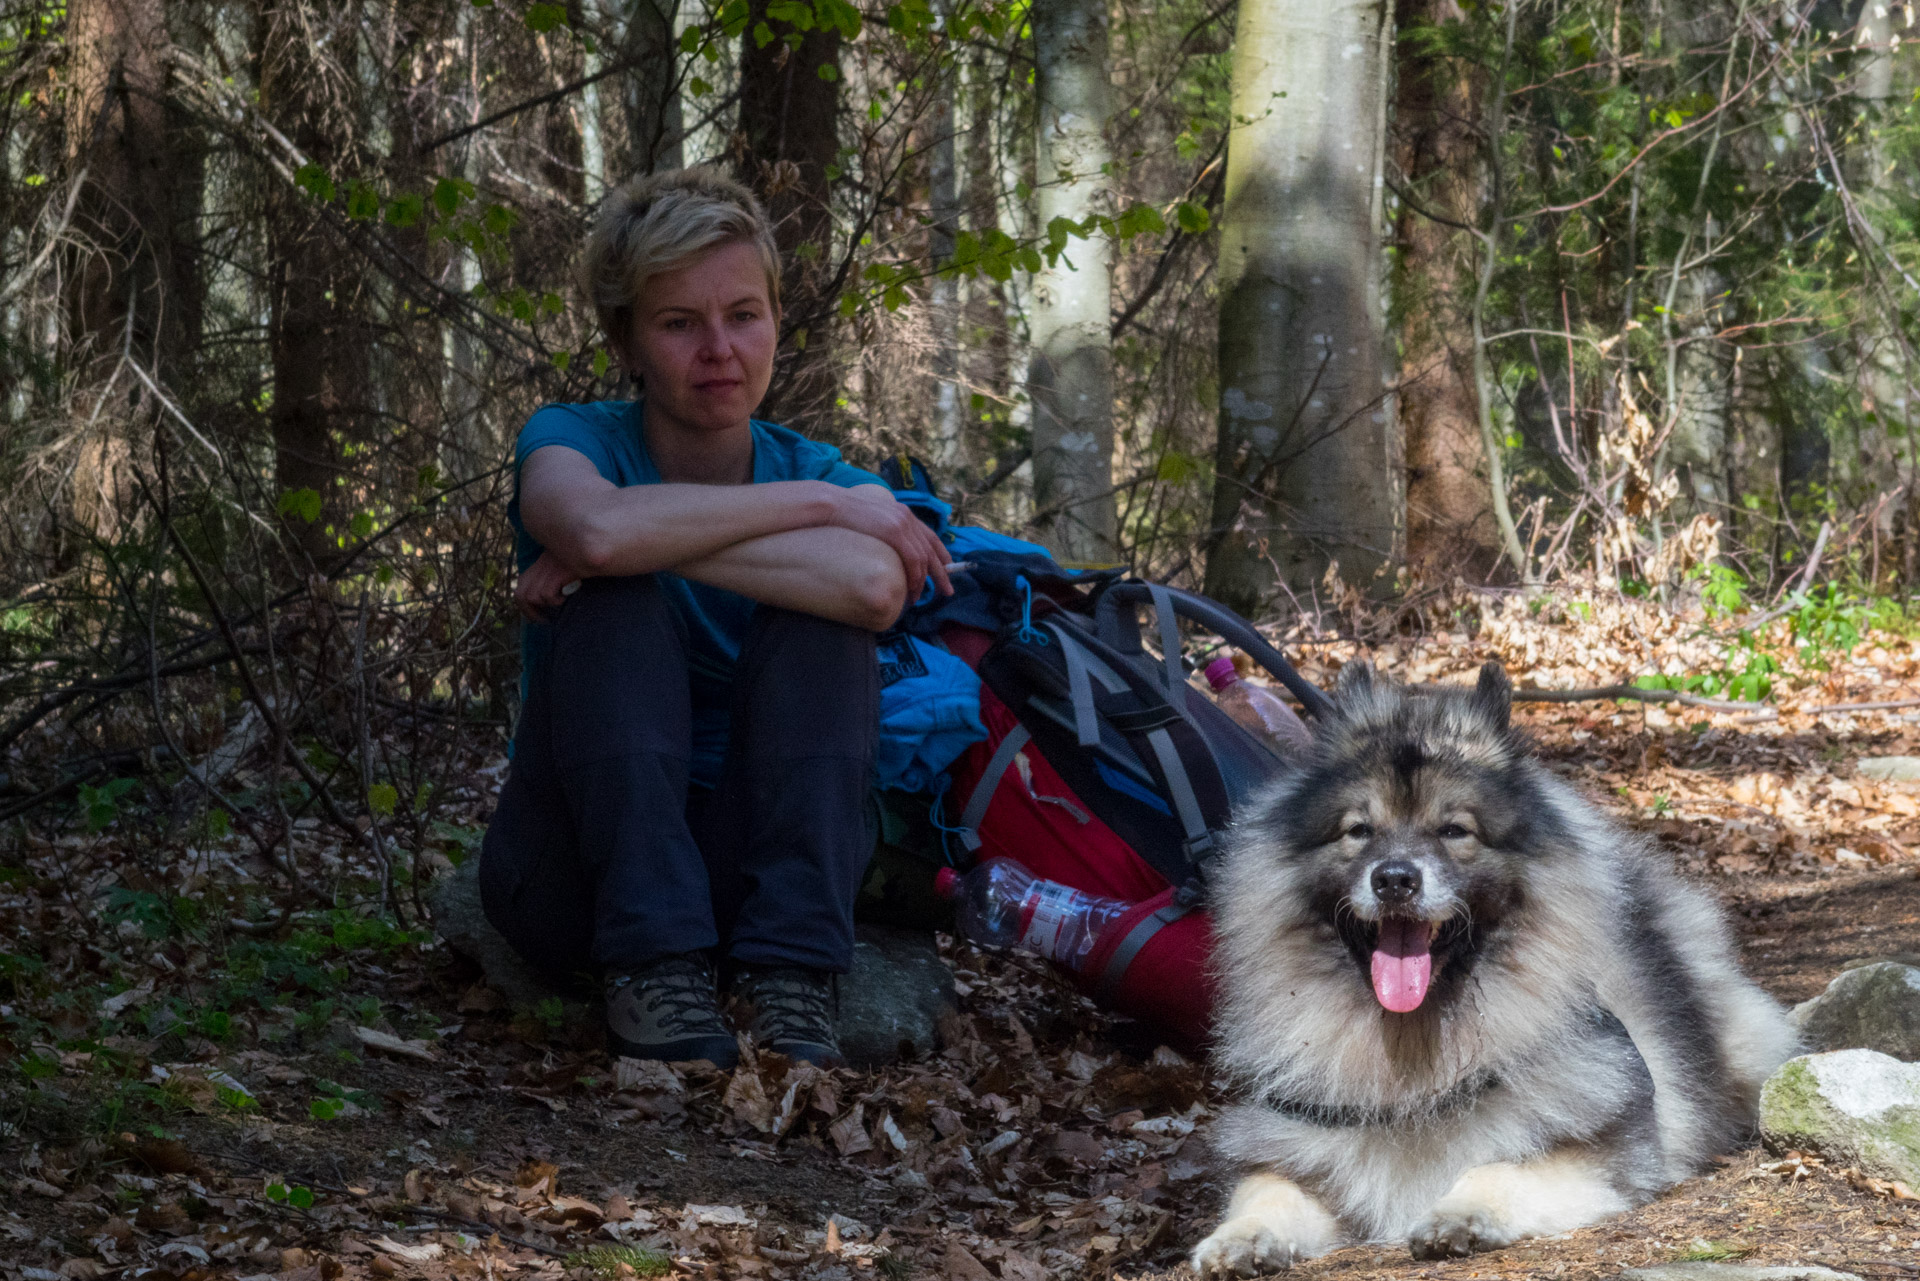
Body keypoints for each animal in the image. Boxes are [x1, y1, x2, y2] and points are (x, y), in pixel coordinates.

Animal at [1190, 656, 1789, 1275]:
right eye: (1359, 831)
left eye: (1454, 830)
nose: (1394, 879)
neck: (1413, 1061)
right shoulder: (1300, 1147)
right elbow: (1263, 1192)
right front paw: (1238, 1240)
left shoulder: (1602, 1153)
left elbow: (1496, 1167)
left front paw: (1458, 1215)